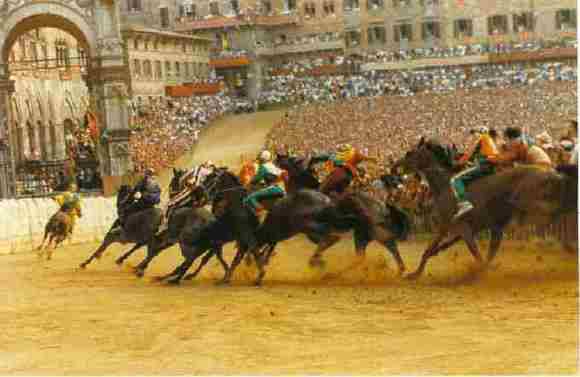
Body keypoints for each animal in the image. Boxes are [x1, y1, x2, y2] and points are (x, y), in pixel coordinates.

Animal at [394, 138, 576, 280]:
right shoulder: (454, 228)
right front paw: (414, 274)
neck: (444, 185)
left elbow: (475, 253)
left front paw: (478, 273)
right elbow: (430, 250)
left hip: (528, 202)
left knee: (551, 215)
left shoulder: (458, 227)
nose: (396, 166)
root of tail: (553, 172)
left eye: (410, 153)